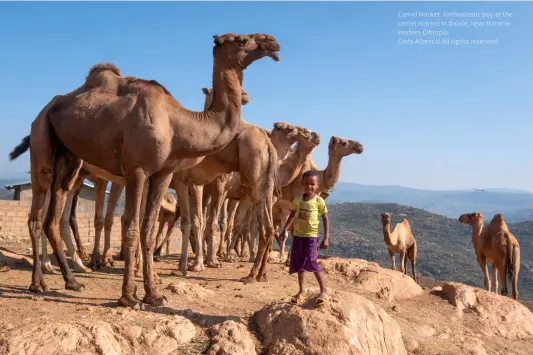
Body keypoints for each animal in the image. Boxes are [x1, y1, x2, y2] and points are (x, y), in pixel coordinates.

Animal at [10, 34, 280, 310]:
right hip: (41, 140)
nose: (272, 43)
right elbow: (130, 227)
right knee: (36, 214)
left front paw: (153, 294)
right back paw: (39, 283)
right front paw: (129, 296)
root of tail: (45, 110)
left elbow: (147, 229)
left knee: (52, 217)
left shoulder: (163, 174)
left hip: (69, 160)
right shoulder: (137, 171)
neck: (177, 123)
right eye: (241, 40)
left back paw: (72, 281)